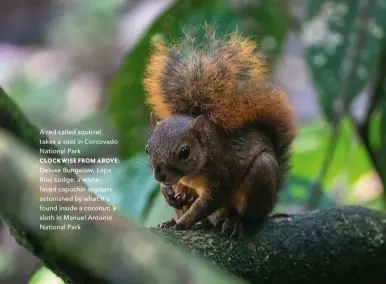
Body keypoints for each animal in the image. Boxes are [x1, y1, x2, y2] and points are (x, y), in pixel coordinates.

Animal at [142, 27, 296, 237]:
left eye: (185, 152)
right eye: (147, 149)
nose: (159, 175)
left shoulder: (221, 176)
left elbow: (209, 202)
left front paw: (183, 222)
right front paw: (167, 193)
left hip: (261, 175)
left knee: (249, 217)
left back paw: (235, 221)